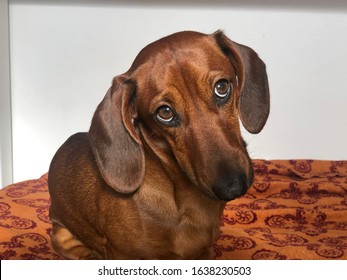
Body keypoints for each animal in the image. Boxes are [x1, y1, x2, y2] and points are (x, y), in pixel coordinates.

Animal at [49, 29, 270, 260]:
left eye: (222, 87)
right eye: (165, 113)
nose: (233, 186)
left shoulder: (205, 252)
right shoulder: (121, 254)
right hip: (63, 236)